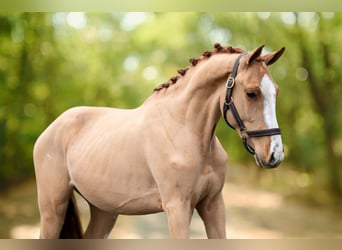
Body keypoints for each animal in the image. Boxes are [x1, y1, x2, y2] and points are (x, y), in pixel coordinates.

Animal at [34, 44, 286, 238]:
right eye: (252, 93)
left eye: (276, 91)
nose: (275, 154)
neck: (184, 129)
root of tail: (52, 128)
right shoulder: (177, 208)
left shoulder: (213, 204)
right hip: (52, 209)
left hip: (104, 211)